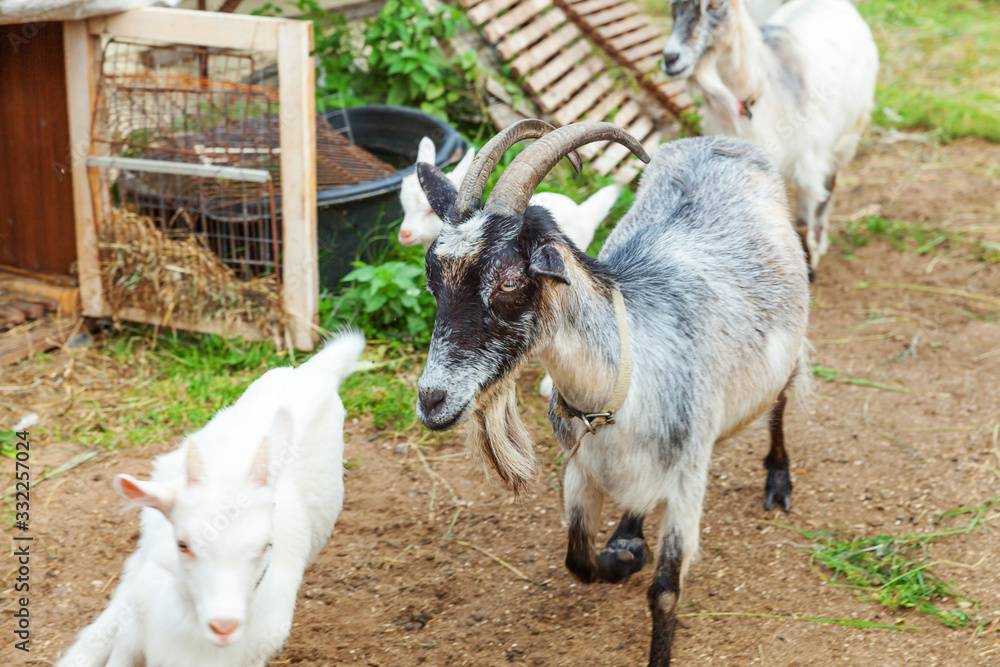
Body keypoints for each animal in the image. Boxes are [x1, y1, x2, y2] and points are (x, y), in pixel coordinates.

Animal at [661, 0, 878, 274]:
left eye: (716, 4)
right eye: (671, 4)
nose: (670, 59)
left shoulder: (809, 164)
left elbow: (802, 221)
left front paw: (809, 265)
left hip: (848, 133)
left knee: (830, 187)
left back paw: (820, 240)